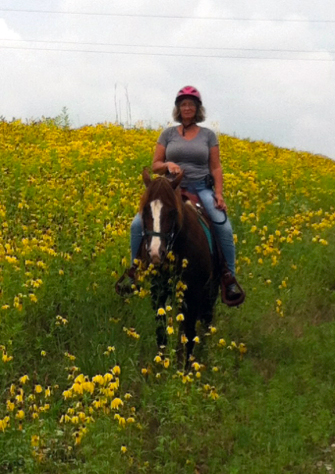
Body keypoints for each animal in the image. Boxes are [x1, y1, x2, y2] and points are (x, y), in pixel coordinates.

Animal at [136, 168, 220, 362]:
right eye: (145, 210)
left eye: (172, 212)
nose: (155, 253)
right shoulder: (157, 291)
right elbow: (161, 332)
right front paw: (161, 363)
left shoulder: (194, 294)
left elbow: (189, 336)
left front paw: (184, 367)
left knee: (206, 321)